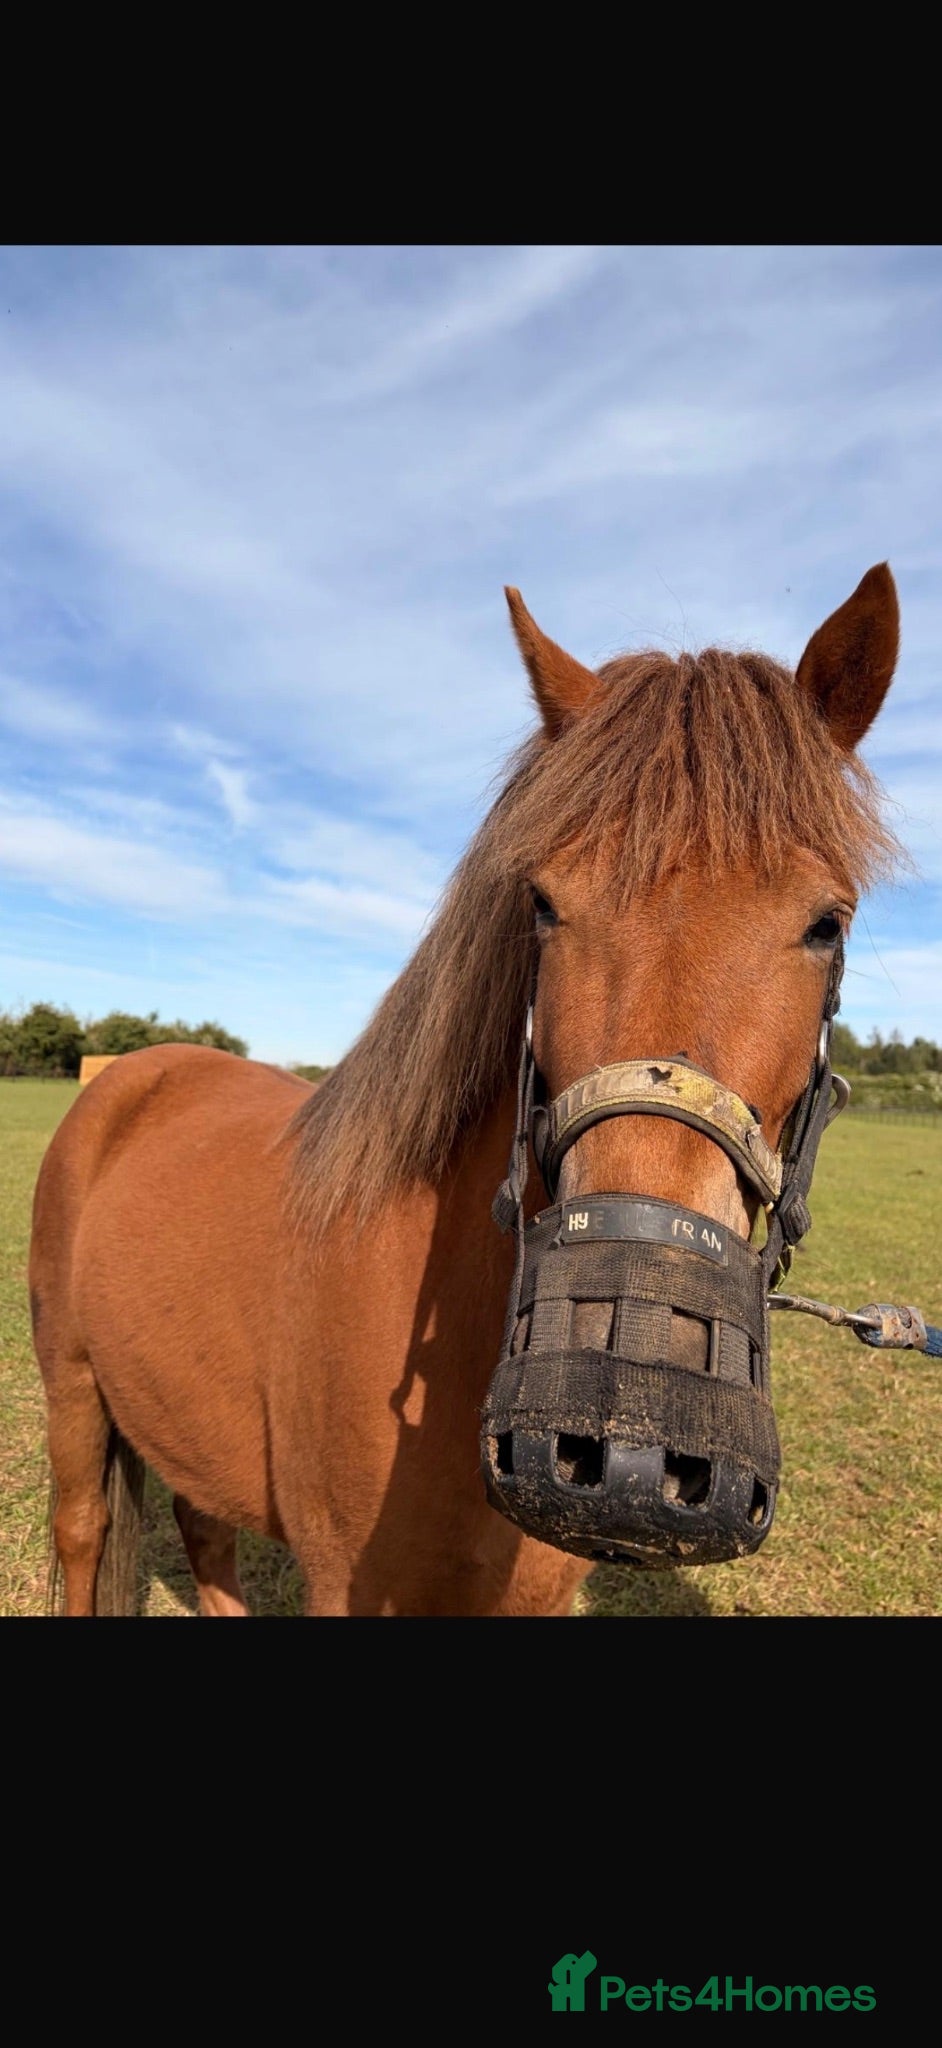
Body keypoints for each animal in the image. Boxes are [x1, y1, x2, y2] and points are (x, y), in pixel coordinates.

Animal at [29, 564, 904, 1615]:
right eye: (543, 904)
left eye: (827, 923)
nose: (624, 1442)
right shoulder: (344, 1587)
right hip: (73, 1386)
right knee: (85, 1533)